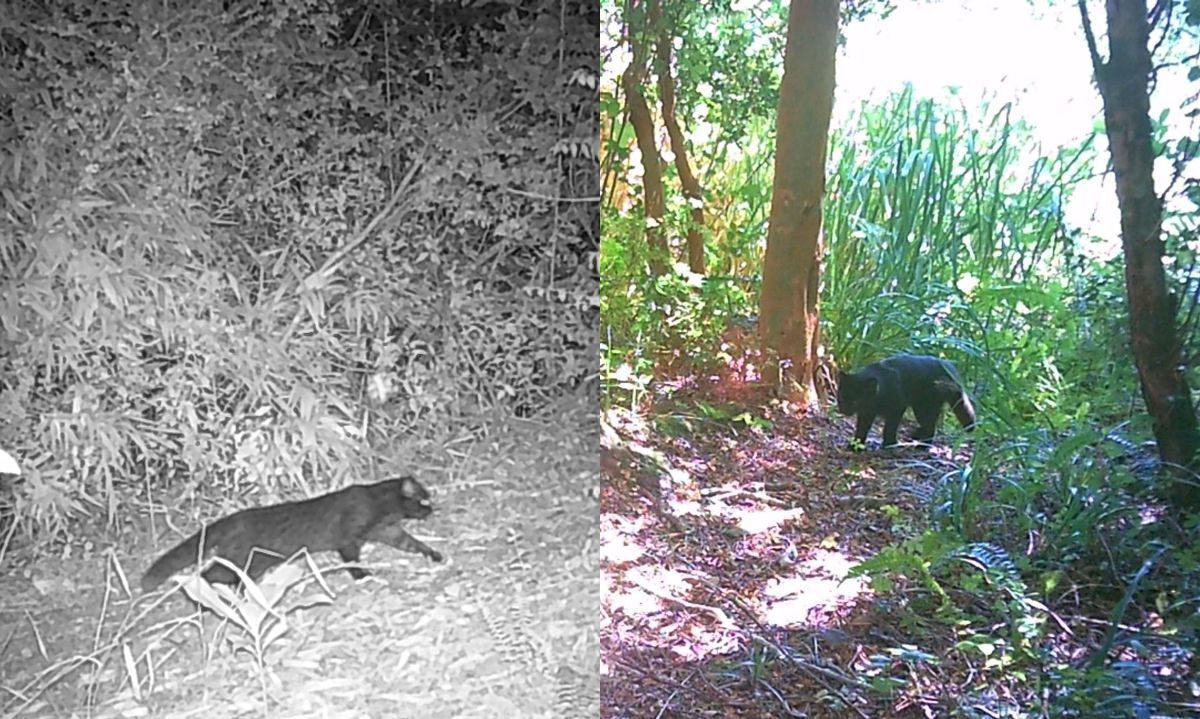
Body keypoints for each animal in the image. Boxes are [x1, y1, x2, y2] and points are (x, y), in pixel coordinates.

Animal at [140, 477, 441, 590]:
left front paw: (434, 554)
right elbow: (352, 560)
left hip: (253, 562)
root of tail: (230, 520)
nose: (433, 509)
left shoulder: (389, 531)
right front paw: (363, 575)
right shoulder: (348, 538)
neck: (379, 507)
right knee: (209, 574)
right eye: (423, 500)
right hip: (243, 559)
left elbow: (412, 543)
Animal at [835, 355, 974, 451]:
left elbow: (890, 428)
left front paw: (889, 444)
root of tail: (948, 366)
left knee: (930, 427)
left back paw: (922, 446)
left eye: (856, 400)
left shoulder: (897, 408)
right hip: (921, 407)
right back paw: (916, 436)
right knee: (928, 424)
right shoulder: (866, 413)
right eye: (841, 397)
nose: (843, 409)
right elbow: (861, 429)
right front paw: (855, 446)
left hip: (925, 406)